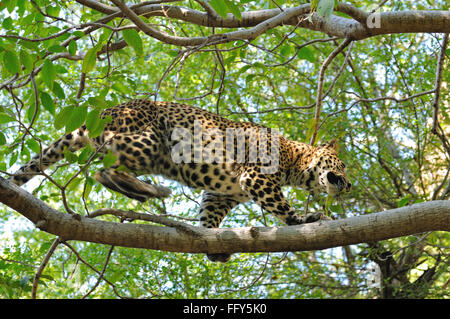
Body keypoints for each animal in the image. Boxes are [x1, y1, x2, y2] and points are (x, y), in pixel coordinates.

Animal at [7, 99, 352, 262]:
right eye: (344, 166)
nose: (349, 185)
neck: (295, 160)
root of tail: (104, 111)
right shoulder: (256, 176)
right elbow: (281, 206)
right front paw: (304, 220)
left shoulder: (222, 194)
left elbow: (209, 215)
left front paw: (213, 243)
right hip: (148, 139)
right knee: (106, 169)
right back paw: (151, 190)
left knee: (104, 169)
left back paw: (142, 192)